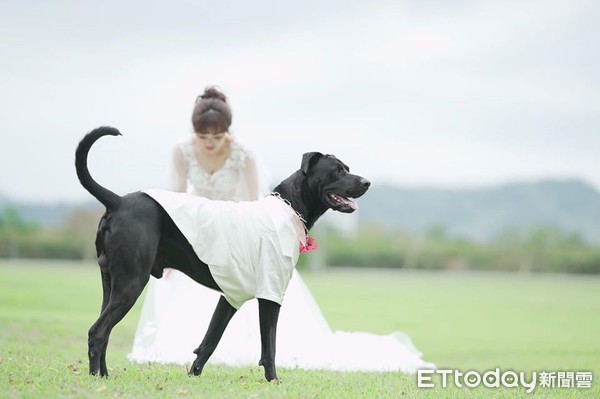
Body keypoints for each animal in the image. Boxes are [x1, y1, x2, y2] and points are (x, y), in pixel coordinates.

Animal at [76, 126, 370, 382]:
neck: (289, 207)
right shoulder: (270, 296)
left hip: (111, 283)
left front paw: (194, 375)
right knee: (97, 331)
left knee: (104, 329)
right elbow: (269, 348)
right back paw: (96, 378)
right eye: (337, 170)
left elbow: (210, 340)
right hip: (131, 283)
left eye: (347, 169)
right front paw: (274, 381)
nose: (366, 182)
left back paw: (103, 375)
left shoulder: (230, 297)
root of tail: (118, 201)